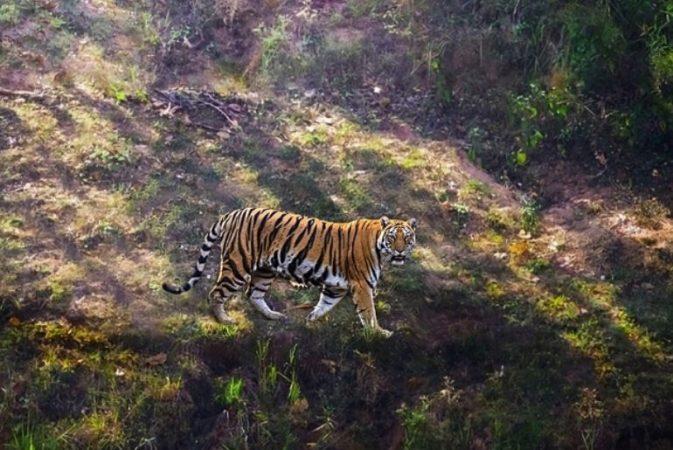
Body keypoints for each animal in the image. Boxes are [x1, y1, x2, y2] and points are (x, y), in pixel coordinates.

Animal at [163, 207, 417, 337]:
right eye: (393, 238)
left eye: (407, 238)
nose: (400, 251)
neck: (379, 246)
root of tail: (233, 213)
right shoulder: (362, 284)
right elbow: (368, 311)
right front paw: (380, 332)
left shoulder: (336, 287)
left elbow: (325, 304)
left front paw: (311, 318)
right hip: (238, 264)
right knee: (216, 293)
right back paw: (224, 319)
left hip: (265, 270)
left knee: (253, 294)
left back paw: (273, 315)